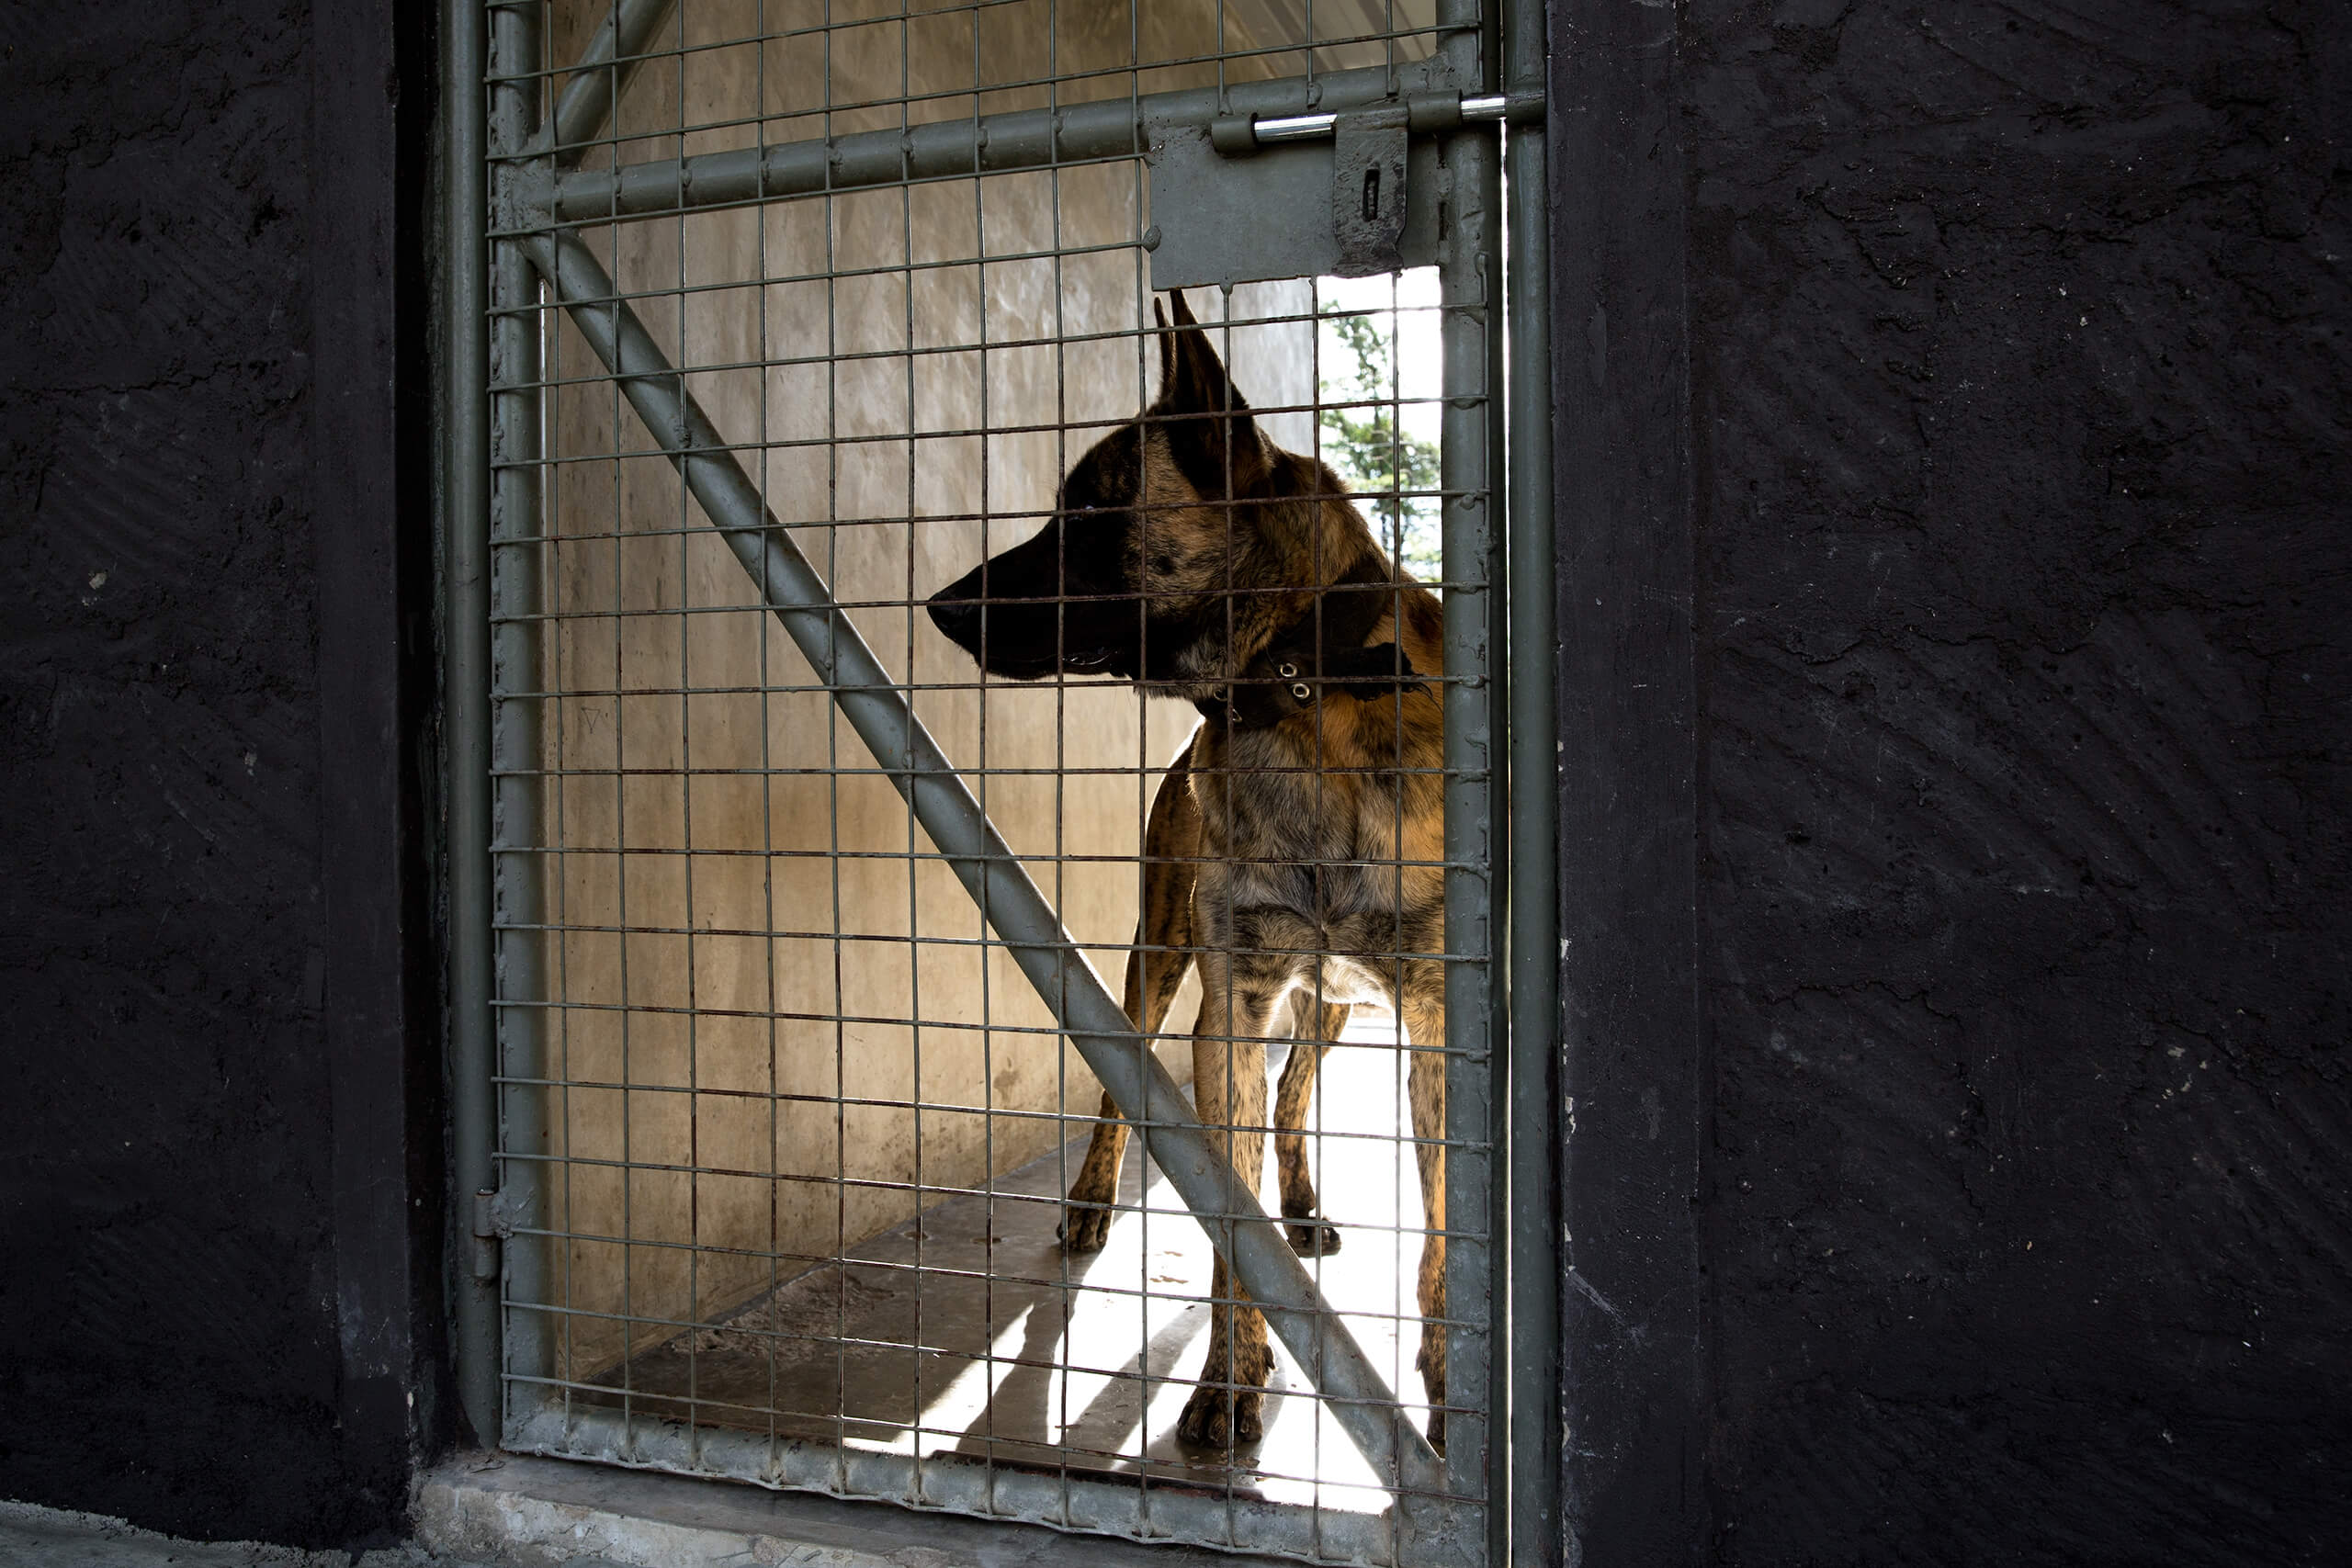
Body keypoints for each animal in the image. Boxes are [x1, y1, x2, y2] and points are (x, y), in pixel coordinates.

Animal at [922, 291, 1448, 1457]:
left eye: (1088, 509)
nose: (936, 605)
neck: (1298, 692)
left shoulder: (1446, 1020)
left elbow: (1448, 1229)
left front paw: (1452, 1377)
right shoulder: (1228, 1011)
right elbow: (1226, 1229)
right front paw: (1227, 1382)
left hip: (1327, 1003)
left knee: (1297, 1093)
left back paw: (1302, 1202)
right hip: (1160, 957)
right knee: (1132, 1083)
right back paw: (1091, 1200)